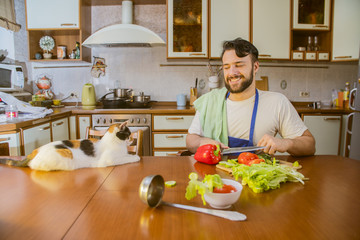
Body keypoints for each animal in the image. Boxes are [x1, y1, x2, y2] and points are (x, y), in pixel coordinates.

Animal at [0, 122, 140, 171]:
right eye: (128, 134)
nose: (132, 139)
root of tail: (33, 152)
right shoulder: (109, 160)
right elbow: (126, 158)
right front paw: (136, 157)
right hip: (67, 156)